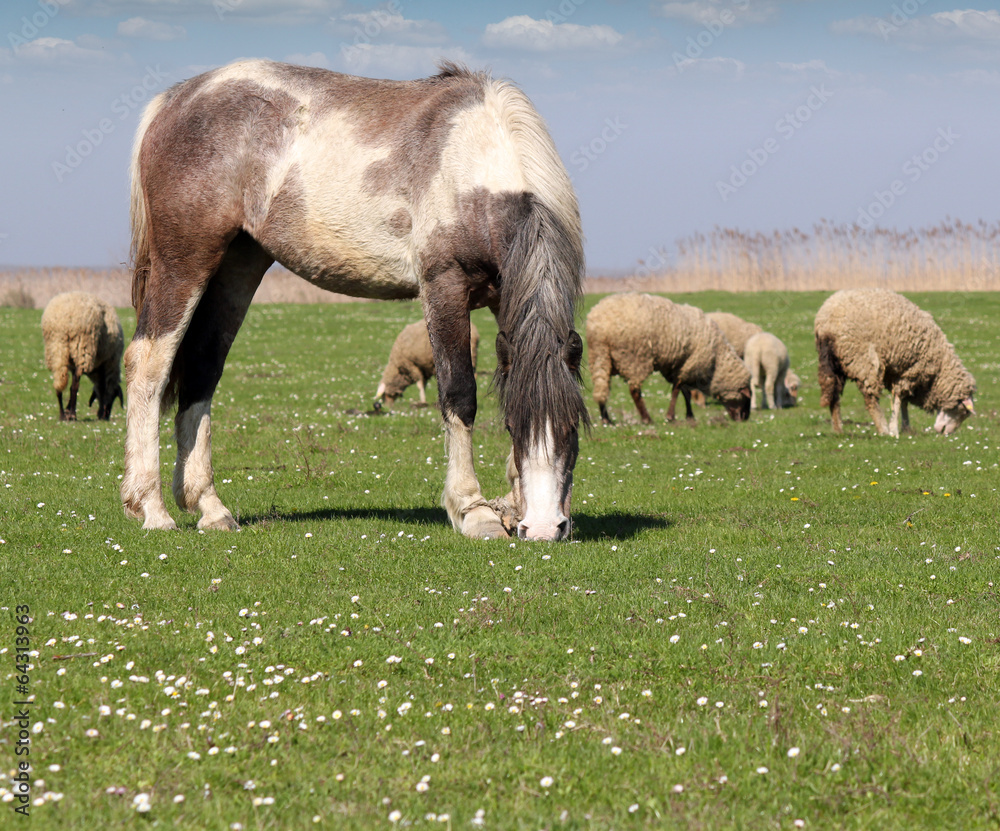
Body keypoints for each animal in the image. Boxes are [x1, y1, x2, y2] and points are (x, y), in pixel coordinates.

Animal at [41, 292, 124, 422]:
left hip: (55, 349)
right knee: (74, 386)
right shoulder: (110, 361)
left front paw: (67, 410)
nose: (104, 417)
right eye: (114, 396)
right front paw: (70, 411)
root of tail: (62, 321)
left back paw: (62, 415)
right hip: (83, 349)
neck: (100, 372)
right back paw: (72, 415)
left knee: (59, 382)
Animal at [119, 63, 584, 544]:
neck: (476, 166)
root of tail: (177, 99)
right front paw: (474, 511)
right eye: (514, 427)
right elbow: (460, 396)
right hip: (184, 263)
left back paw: (210, 508)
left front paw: (512, 505)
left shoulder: (503, 299)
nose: (545, 527)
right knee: (149, 364)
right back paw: (151, 508)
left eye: (575, 427)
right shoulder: (444, 287)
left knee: (202, 371)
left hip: (236, 269)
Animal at [584, 292, 752, 426]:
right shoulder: (689, 366)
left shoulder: (679, 366)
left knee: (601, 388)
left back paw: (606, 419)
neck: (717, 361)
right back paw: (646, 419)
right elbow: (677, 391)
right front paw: (671, 416)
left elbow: (685, 392)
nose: (744, 419)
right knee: (634, 391)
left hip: (600, 358)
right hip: (633, 358)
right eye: (746, 397)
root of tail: (599, 328)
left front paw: (689, 416)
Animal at [812, 290, 976, 438]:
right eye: (962, 411)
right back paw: (883, 429)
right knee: (870, 399)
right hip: (862, 359)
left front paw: (906, 428)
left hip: (834, 363)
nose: (945, 433)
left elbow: (903, 401)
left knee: (834, 396)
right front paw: (894, 429)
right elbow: (898, 399)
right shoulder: (909, 372)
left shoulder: (898, 374)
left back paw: (838, 429)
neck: (939, 371)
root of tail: (826, 322)